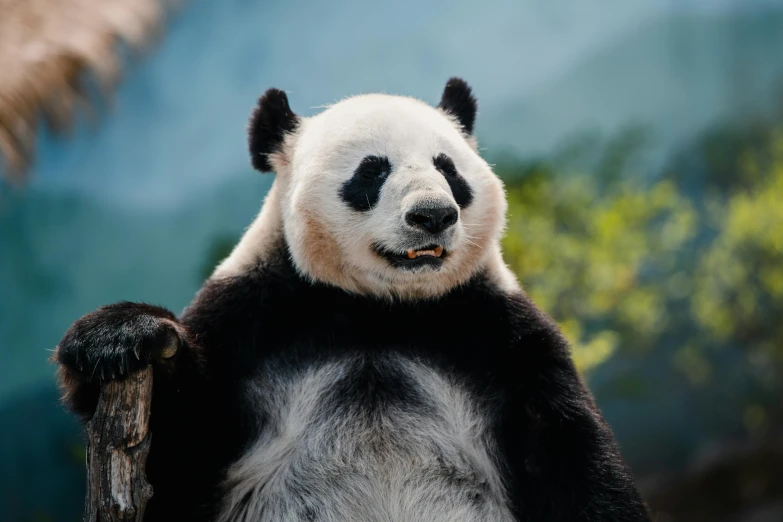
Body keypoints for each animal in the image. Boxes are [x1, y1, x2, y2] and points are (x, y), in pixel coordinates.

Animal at [55, 78, 652, 520]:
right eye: (372, 170)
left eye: (448, 168)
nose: (433, 215)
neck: (378, 309)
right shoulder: (253, 321)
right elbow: (179, 457)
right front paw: (122, 337)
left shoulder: (495, 333)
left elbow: (571, 457)